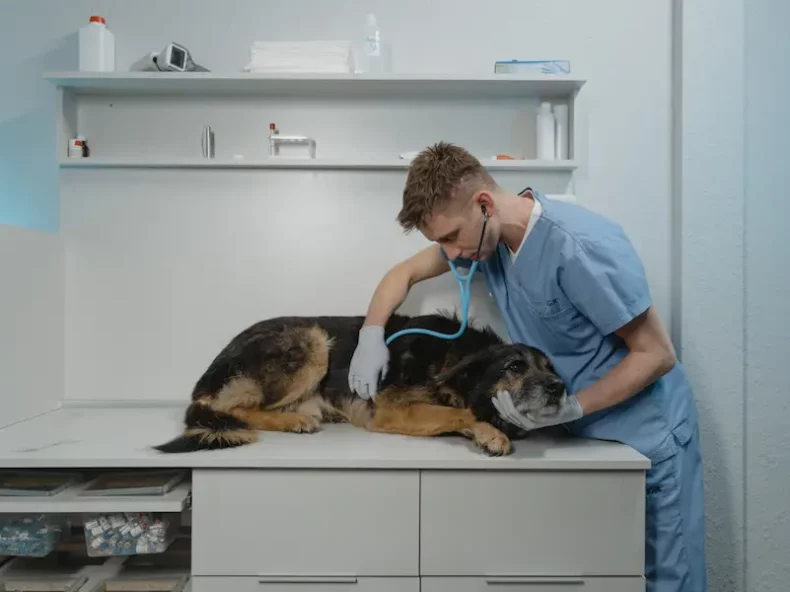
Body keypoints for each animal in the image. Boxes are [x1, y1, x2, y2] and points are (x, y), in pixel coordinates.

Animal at [152, 312, 568, 456]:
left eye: (551, 367)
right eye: (514, 365)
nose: (559, 388)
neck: (454, 356)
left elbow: (458, 414)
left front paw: (488, 432)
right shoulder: (391, 410)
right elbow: (463, 413)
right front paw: (492, 432)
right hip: (314, 338)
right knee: (230, 408)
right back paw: (294, 421)